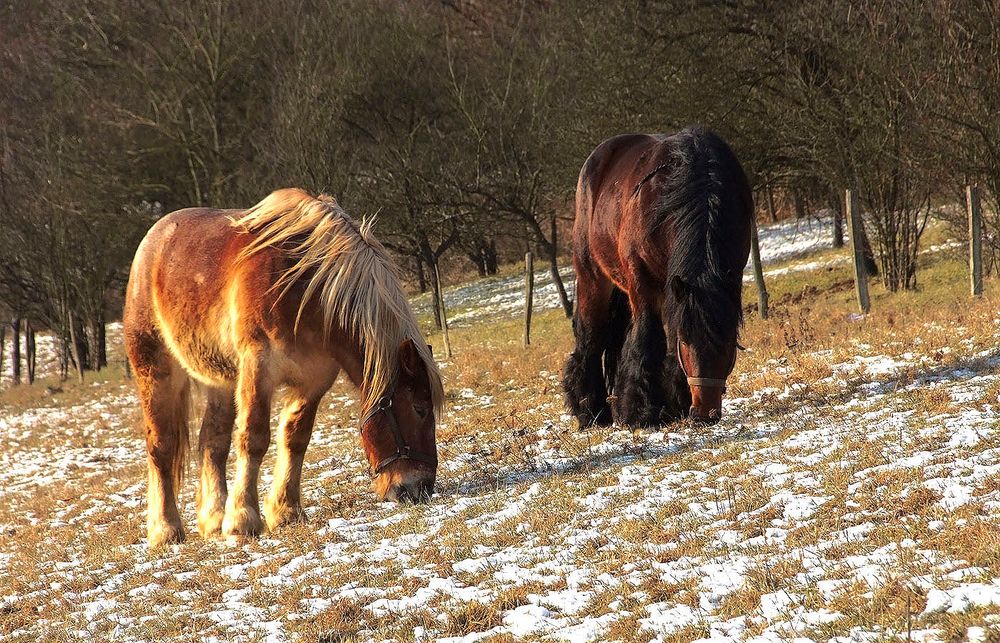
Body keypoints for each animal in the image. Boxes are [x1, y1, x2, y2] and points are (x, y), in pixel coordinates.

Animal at [122, 187, 442, 548]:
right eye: (419, 409)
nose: (420, 488)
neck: (308, 289)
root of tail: (153, 239)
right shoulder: (258, 366)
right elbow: (254, 438)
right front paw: (243, 519)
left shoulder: (315, 378)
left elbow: (295, 437)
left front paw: (286, 511)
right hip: (154, 368)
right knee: (161, 445)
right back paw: (165, 529)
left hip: (220, 380)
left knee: (212, 443)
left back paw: (213, 518)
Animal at [564, 127, 752, 428]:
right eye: (687, 342)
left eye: (727, 342)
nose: (705, 413)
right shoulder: (643, 283)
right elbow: (647, 337)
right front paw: (641, 412)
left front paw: (675, 403)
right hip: (593, 277)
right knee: (591, 337)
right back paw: (590, 411)